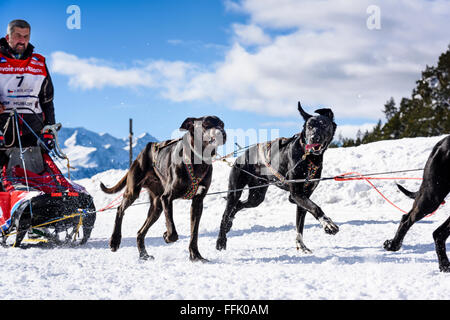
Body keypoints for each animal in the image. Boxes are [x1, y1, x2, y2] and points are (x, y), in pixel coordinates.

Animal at [98, 116, 225, 262]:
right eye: (206, 124)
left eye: (222, 124)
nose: (222, 133)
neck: (198, 161)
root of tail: (142, 153)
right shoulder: (167, 198)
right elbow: (172, 230)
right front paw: (166, 236)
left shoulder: (197, 202)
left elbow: (194, 232)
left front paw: (196, 255)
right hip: (133, 192)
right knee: (120, 209)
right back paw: (115, 240)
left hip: (156, 206)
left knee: (140, 232)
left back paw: (144, 255)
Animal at [216, 102, 340, 252]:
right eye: (309, 126)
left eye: (324, 124)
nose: (313, 137)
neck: (309, 158)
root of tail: (240, 156)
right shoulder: (296, 194)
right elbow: (315, 208)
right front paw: (328, 224)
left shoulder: (303, 196)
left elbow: (300, 223)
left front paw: (301, 245)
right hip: (235, 191)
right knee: (226, 213)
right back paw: (221, 240)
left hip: (256, 197)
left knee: (238, 205)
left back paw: (229, 223)